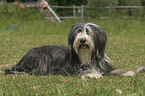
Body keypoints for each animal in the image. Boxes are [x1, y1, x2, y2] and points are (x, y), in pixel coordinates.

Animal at [4, 22, 136, 78]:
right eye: (78, 32)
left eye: (88, 32)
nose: (82, 40)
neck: (86, 56)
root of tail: (23, 58)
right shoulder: (69, 69)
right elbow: (83, 71)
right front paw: (93, 74)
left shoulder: (103, 66)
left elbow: (115, 70)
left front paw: (128, 72)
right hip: (42, 57)